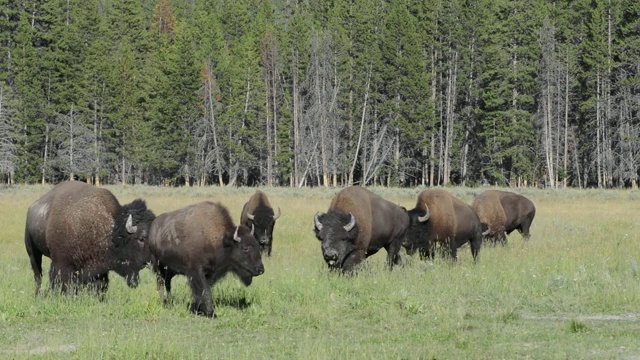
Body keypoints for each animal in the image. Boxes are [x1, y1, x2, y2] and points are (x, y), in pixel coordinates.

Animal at [24, 181, 156, 294]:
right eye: (141, 238)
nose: (153, 259)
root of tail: (32, 208)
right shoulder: (62, 264)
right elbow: (63, 283)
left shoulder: (100, 270)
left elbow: (100, 286)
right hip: (32, 252)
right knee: (38, 275)